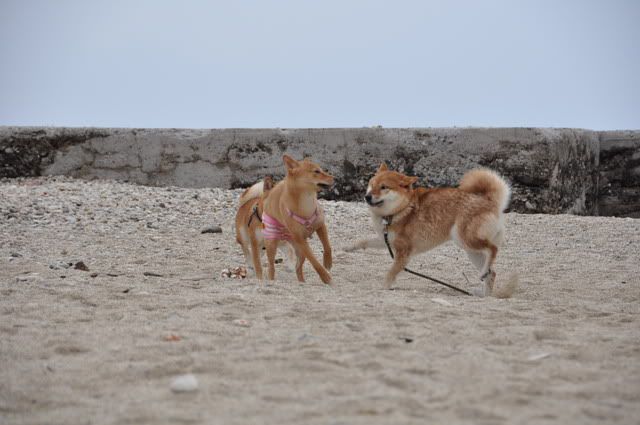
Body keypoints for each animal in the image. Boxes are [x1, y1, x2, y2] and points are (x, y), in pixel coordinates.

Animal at [262, 155, 334, 284]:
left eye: (322, 170)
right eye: (316, 171)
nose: (334, 178)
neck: (306, 202)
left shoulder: (320, 225)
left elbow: (327, 245)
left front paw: (327, 261)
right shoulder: (301, 240)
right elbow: (314, 261)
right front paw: (325, 277)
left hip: (300, 252)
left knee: (297, 268)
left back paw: (302, 282)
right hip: (272, 245)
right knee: (271, 267)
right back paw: (272, 280)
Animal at [346, 163, 517, 297]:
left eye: (384, 187)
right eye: (371, 184)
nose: (367, 197)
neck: (401, 210)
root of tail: (490, 201)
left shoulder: (403, 252)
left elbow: (391, 273)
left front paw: (383, 287)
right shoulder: (386, 239)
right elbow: (364, 241)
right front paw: (348, 247)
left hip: (464, 239)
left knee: (493, 249)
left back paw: (484, 276)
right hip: (471, 251)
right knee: (492, 272)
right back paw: (485, 293)